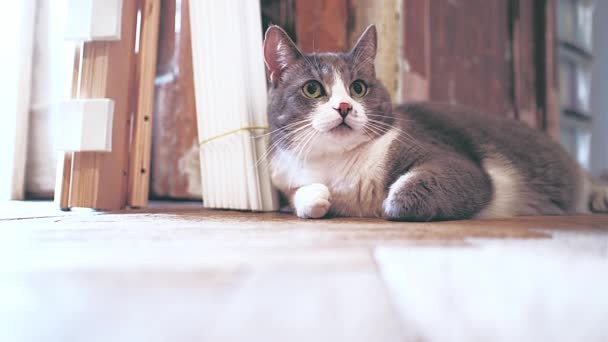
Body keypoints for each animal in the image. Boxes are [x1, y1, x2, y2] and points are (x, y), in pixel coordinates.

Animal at [262, 24, 608, 222]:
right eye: (312, 89)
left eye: (358, 88)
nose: (345, 106)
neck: (336, 162)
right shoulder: (285, 175)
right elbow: (300, 195)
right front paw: (315, 198)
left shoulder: (450, 158)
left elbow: (410, 192)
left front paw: (388, 203)